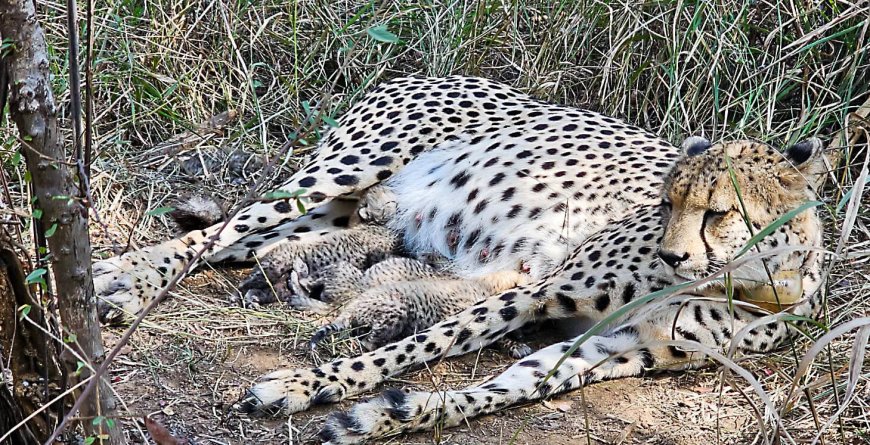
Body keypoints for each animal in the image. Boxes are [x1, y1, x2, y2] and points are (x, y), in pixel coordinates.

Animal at [91, 75, 830, 444]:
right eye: (667, 201)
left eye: (718, 211)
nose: (673, 253)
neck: (751, 283)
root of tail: (422, 71)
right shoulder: (538, 291)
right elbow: (423, 343)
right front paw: (307, 384)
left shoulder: (616, 348)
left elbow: (498, 388)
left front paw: (385, 416)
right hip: (342, 172)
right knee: (218, 231)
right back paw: (120, 280)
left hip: (341, 213)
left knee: (253, 245)